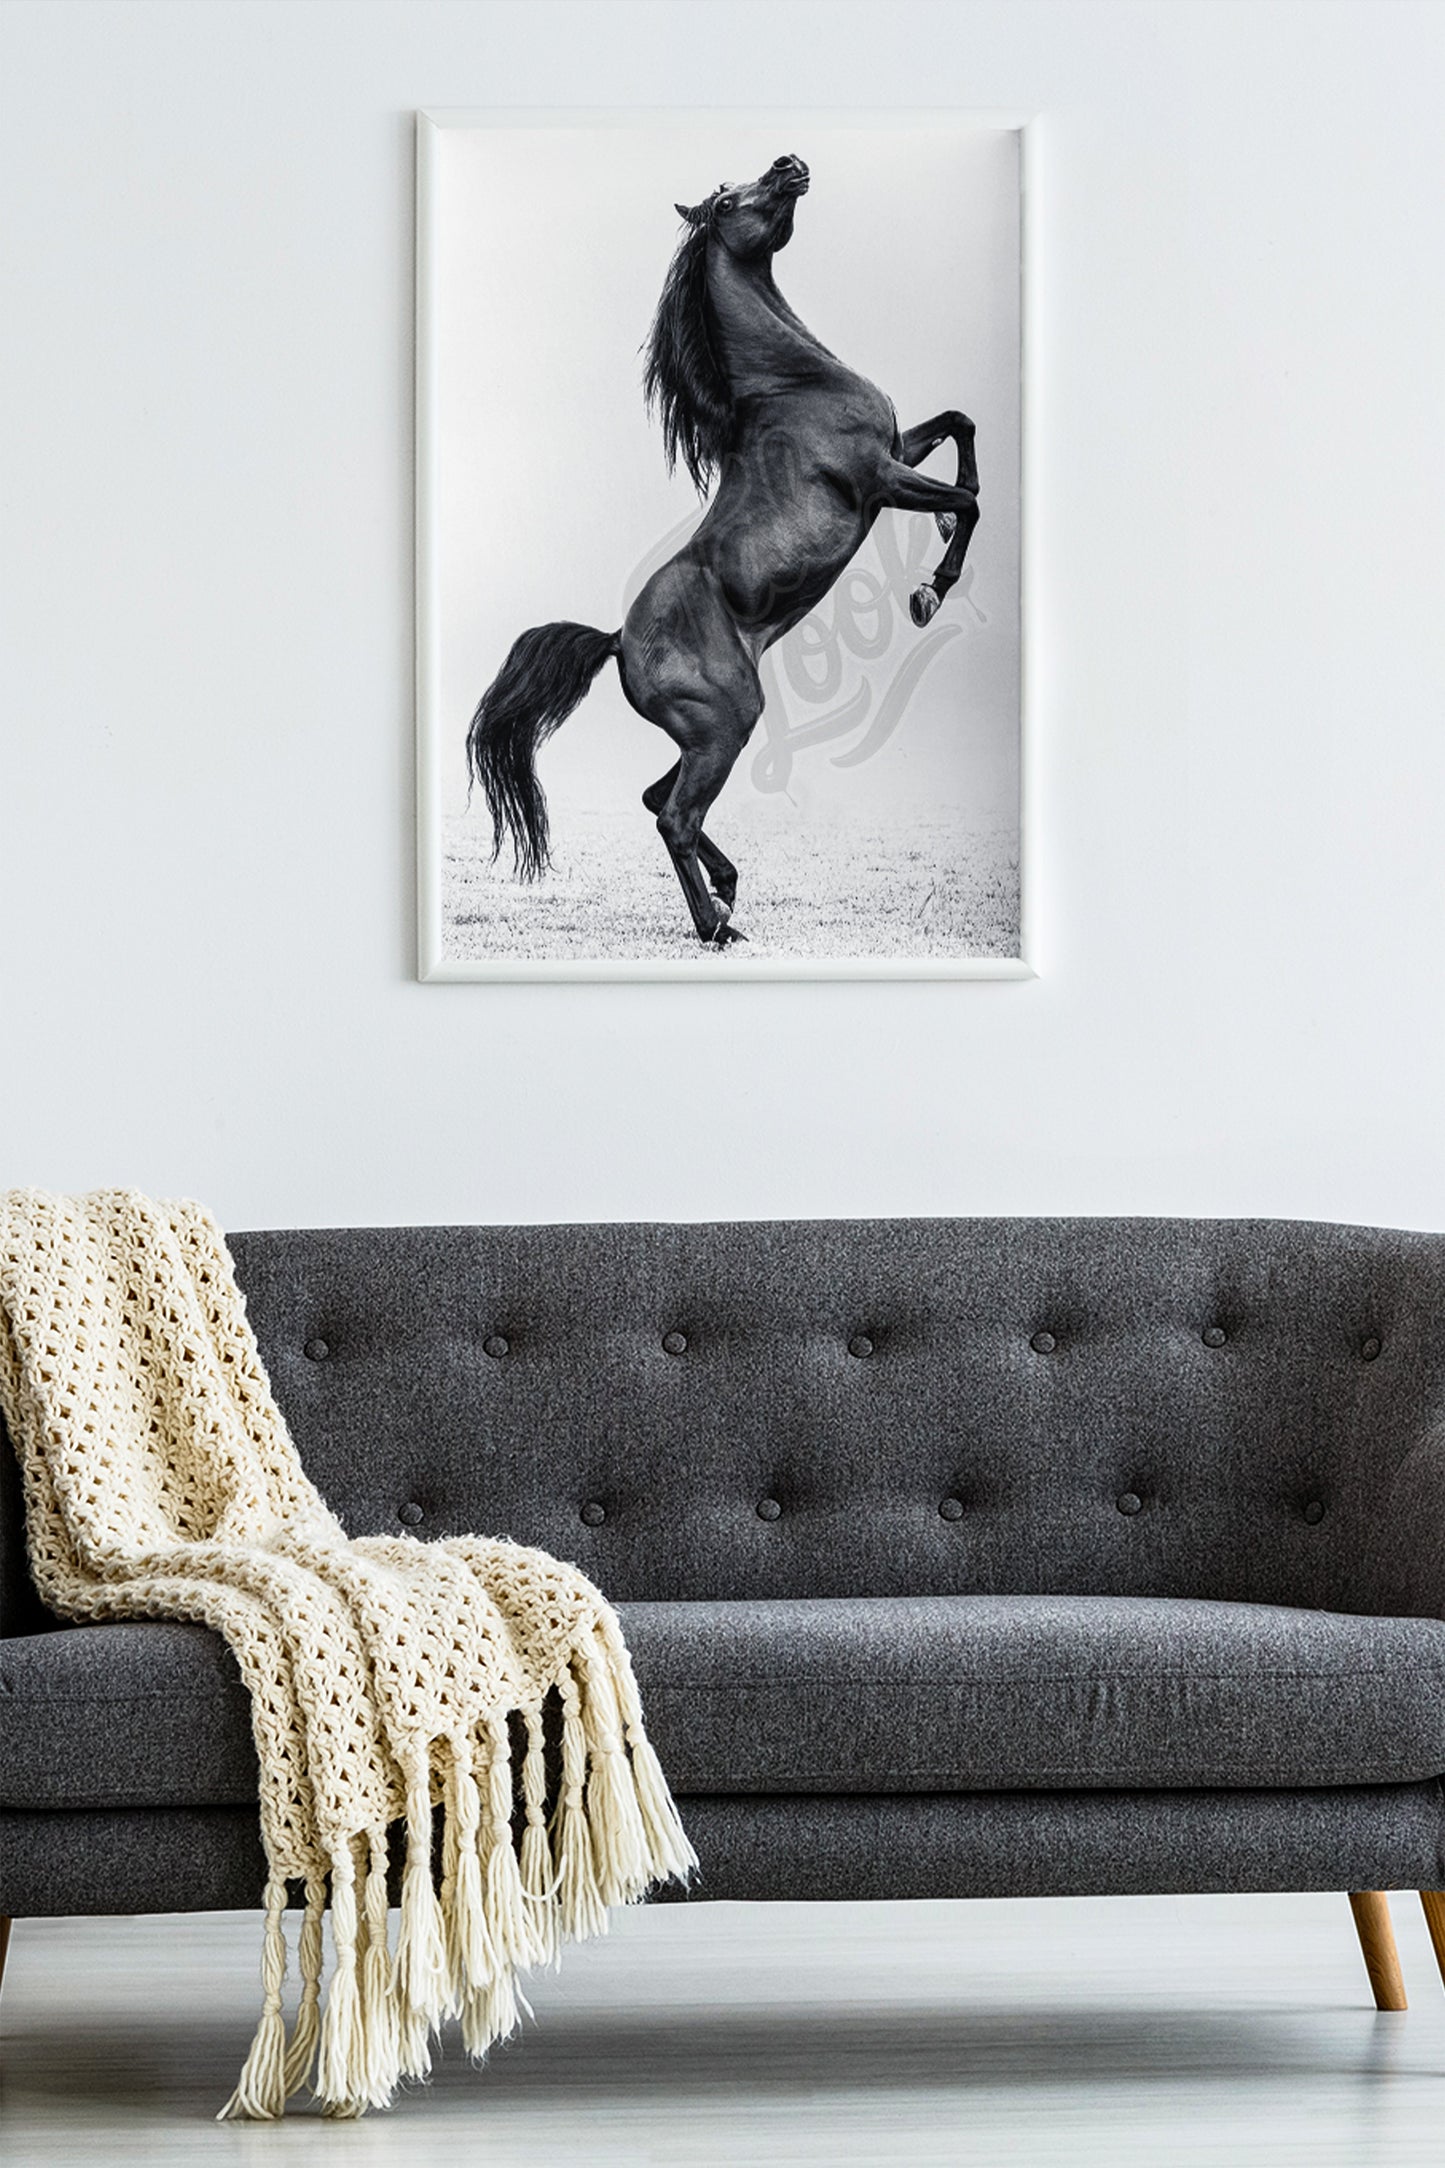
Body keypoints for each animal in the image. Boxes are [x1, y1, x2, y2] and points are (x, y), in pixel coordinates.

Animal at [465, 151, 981, 946]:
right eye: (730, 200)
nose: (789, 163)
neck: (792, 384)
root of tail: (616, 640)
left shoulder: (899, 453)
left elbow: (960, 424)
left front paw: (940, 549)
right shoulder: (880, 478)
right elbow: (971, 499)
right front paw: (929, 590)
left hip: (705, 736)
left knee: (656, 798)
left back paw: (729, 889)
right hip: (725, 727)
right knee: (674, 814)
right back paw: (717, 926)